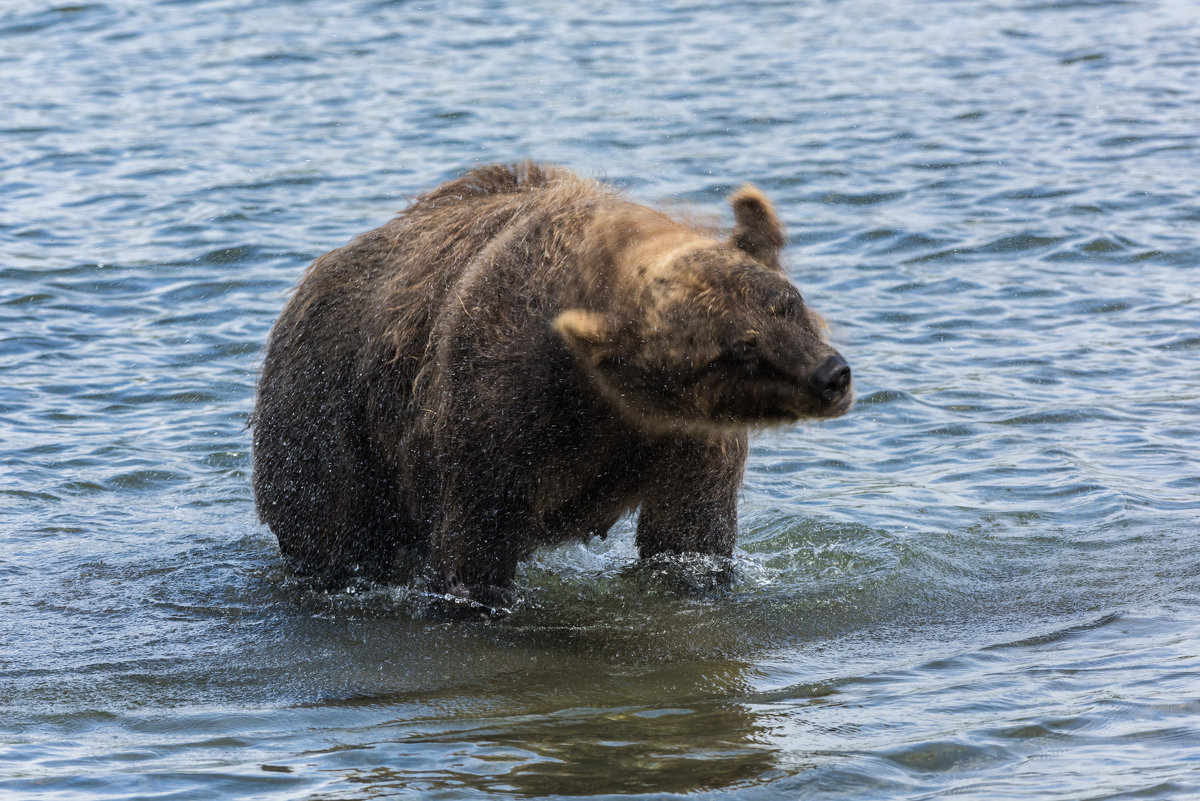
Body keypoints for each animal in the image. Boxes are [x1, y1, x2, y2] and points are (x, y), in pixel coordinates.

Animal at [250, 160, 854, 613]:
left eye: (786, 303)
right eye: (739, 348)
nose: (831, 376)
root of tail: (307, 280)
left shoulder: (689, 436)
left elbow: (689, 537)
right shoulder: (500, 400)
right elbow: (474, 540)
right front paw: (477, 600)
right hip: (326, 407)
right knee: (331, 526)